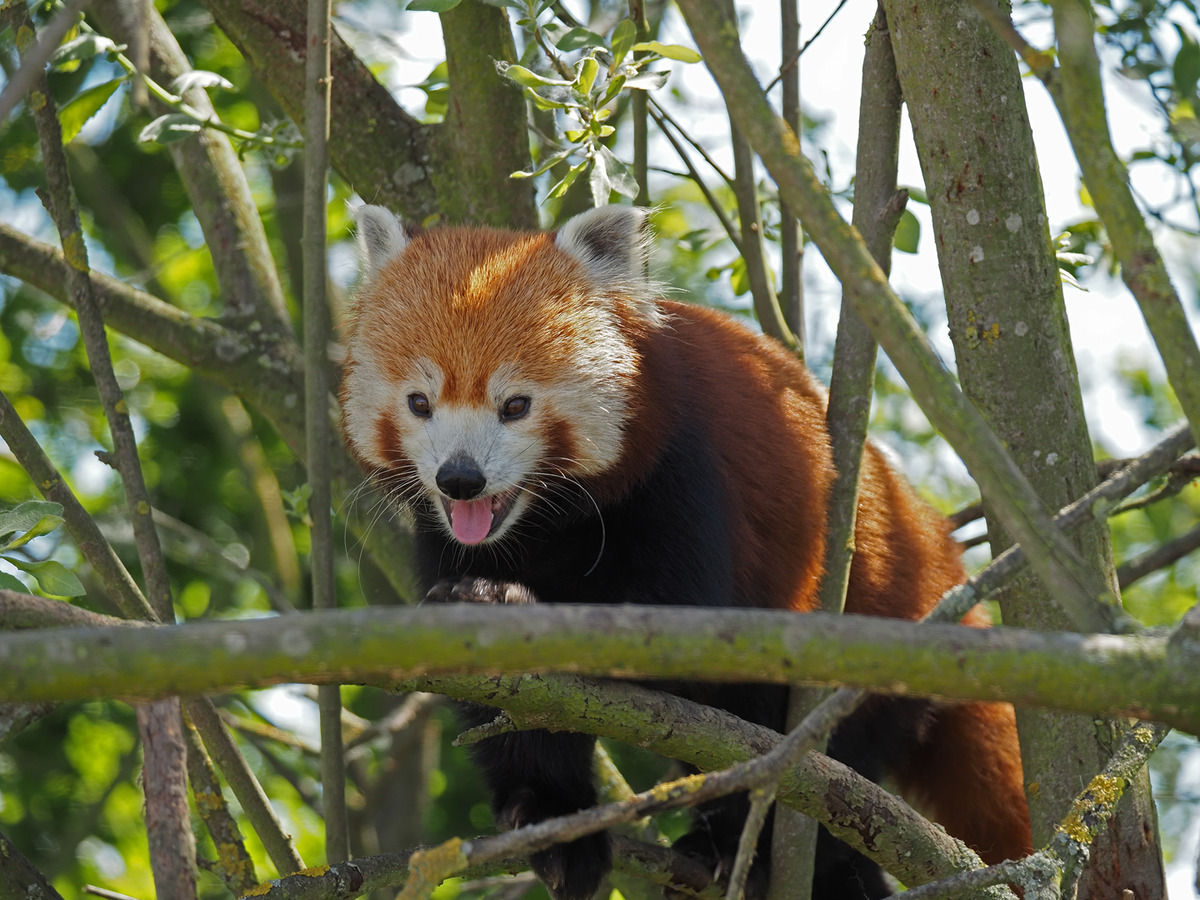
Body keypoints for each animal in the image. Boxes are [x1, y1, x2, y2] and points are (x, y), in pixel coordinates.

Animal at [340, 206, 1032, 900]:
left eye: (515, 405)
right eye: (420, 403)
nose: (461, 479)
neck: (542, 526)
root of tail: (941, 556)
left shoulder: (685, 473)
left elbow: (671, 620)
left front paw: (511, 604)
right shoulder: (444, 536)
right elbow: (516, 714)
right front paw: (554, 820)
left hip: (881, 634)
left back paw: (753, 849)